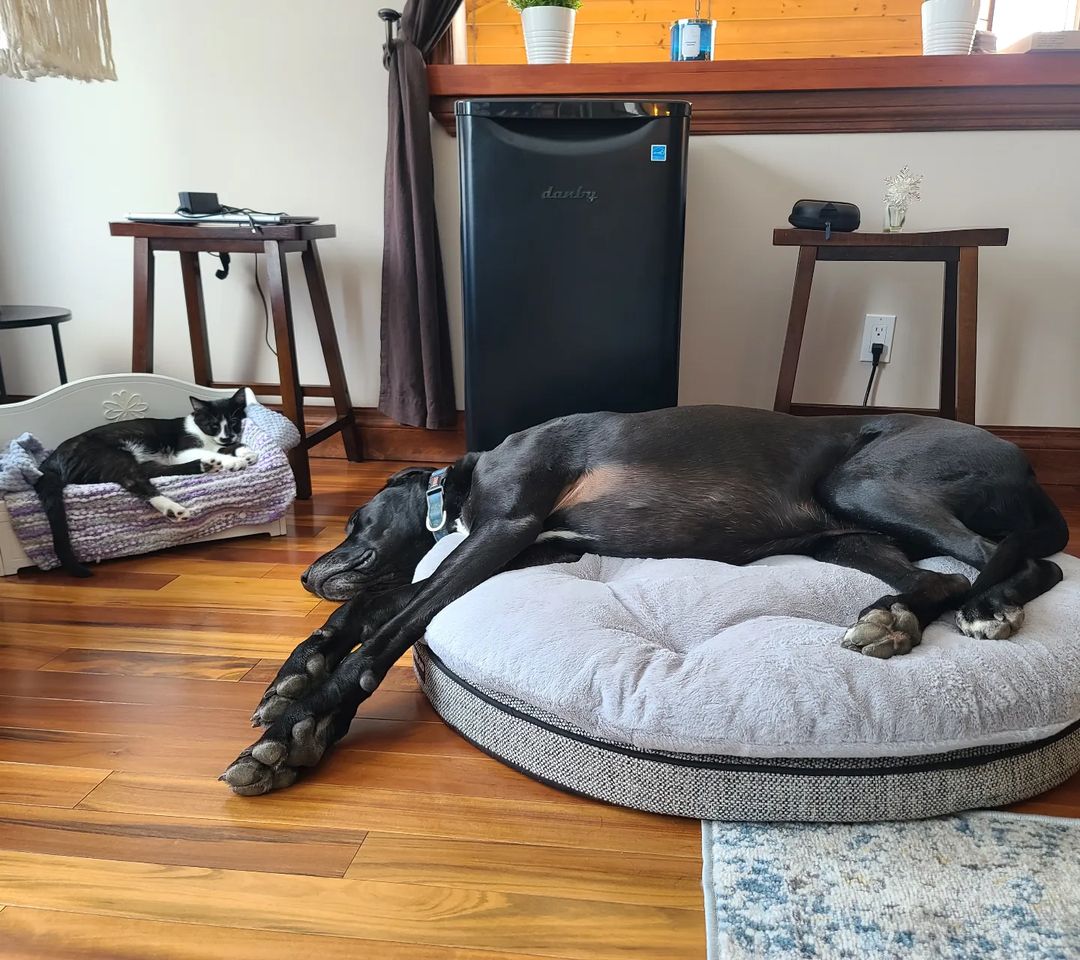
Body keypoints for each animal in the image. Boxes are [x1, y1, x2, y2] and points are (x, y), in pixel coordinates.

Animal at [33, 388, 259, 578]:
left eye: (234, 421)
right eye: (213, 425)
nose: (226, 436)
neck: (204, 434)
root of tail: (49, 462)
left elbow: (229, 447)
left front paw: (246, 452)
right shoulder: (183, 450)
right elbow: (215, 451)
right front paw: (234, 460)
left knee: (152, 471)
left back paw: (206, 466)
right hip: (111, 455)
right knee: (135, 479)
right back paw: (174, 507)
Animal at [223, 403, 1067, 794]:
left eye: (354, 520)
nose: (307, 573)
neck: (460, 486)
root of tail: (1024, 461)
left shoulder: (505, 528)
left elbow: (390, 627)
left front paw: (300, 727)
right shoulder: (526, 546)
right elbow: (381, 607)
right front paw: (294, 679)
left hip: (868, 481)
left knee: (1022, 564)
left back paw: (992, 606)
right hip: (842, 532)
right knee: (940, 577)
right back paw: (895, 619)